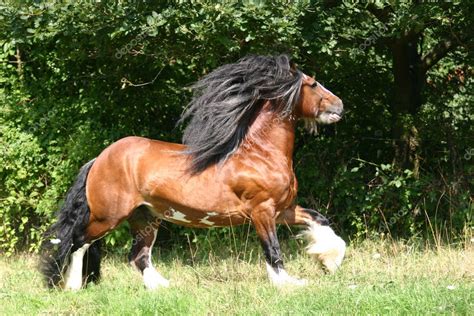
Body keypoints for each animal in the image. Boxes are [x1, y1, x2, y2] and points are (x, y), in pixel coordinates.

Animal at [40, 54, 344, 288]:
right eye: (313, 83)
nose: (340, 106)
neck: (260, 154)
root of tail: (98, 160)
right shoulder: (262, 211)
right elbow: (272, 249)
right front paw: (290, 284)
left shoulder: (283, 210)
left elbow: (320, 219)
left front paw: (329, 261)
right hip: (108, 216)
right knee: (78, 242)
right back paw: (73, 286)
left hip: (145, 217)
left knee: (138, 255)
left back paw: (163, 287)